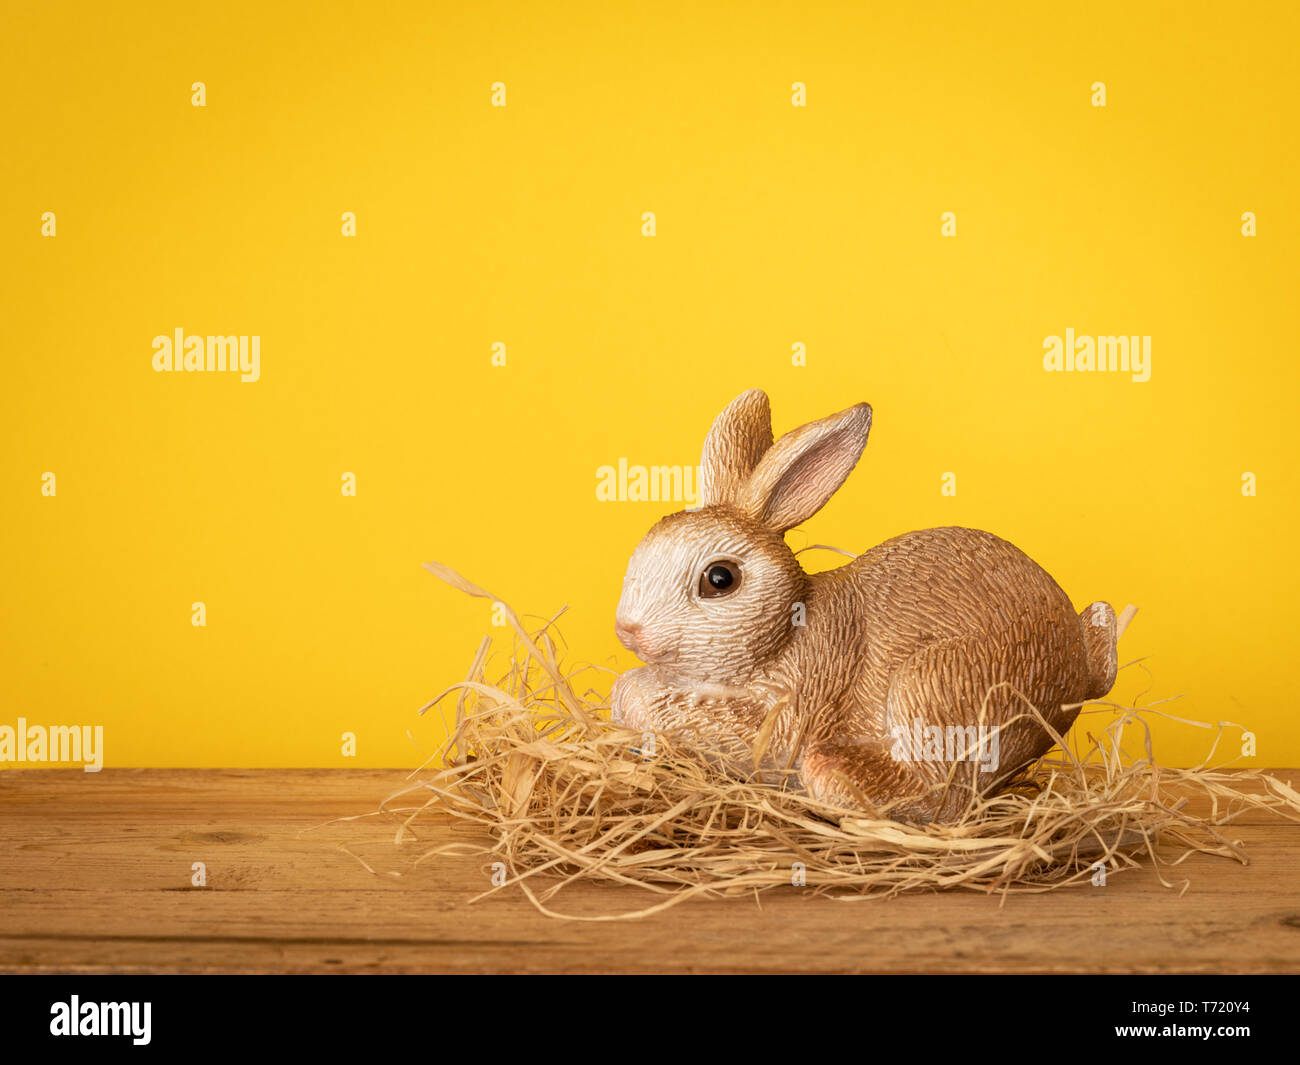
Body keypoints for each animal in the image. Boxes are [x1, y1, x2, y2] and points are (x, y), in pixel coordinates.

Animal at [608, 392, 1118, 827]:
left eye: (720, 579)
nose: (628, 630)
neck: (784, 630)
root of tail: (1079, 665)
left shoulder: (786, 713)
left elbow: (656, 699)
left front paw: (634, 697)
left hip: (936, 684)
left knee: (942, 799)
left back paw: (840, 778)